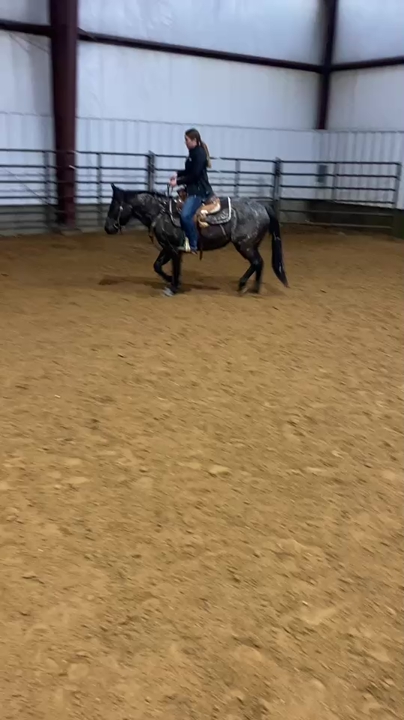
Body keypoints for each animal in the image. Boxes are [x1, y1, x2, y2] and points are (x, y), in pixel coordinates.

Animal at [104, 184, 288, 296]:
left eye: (114, 206)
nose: (108, 228)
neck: (160, 212)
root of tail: (262, 207)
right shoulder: (167, 248)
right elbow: (157, 266)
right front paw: (171, 281)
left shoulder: (173, 249)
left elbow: (174, 267)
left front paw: (173, 286)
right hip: (250, 245)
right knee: (258, 263)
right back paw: (253, 287)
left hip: (245, 245)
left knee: (257, 262)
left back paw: (244, 285)